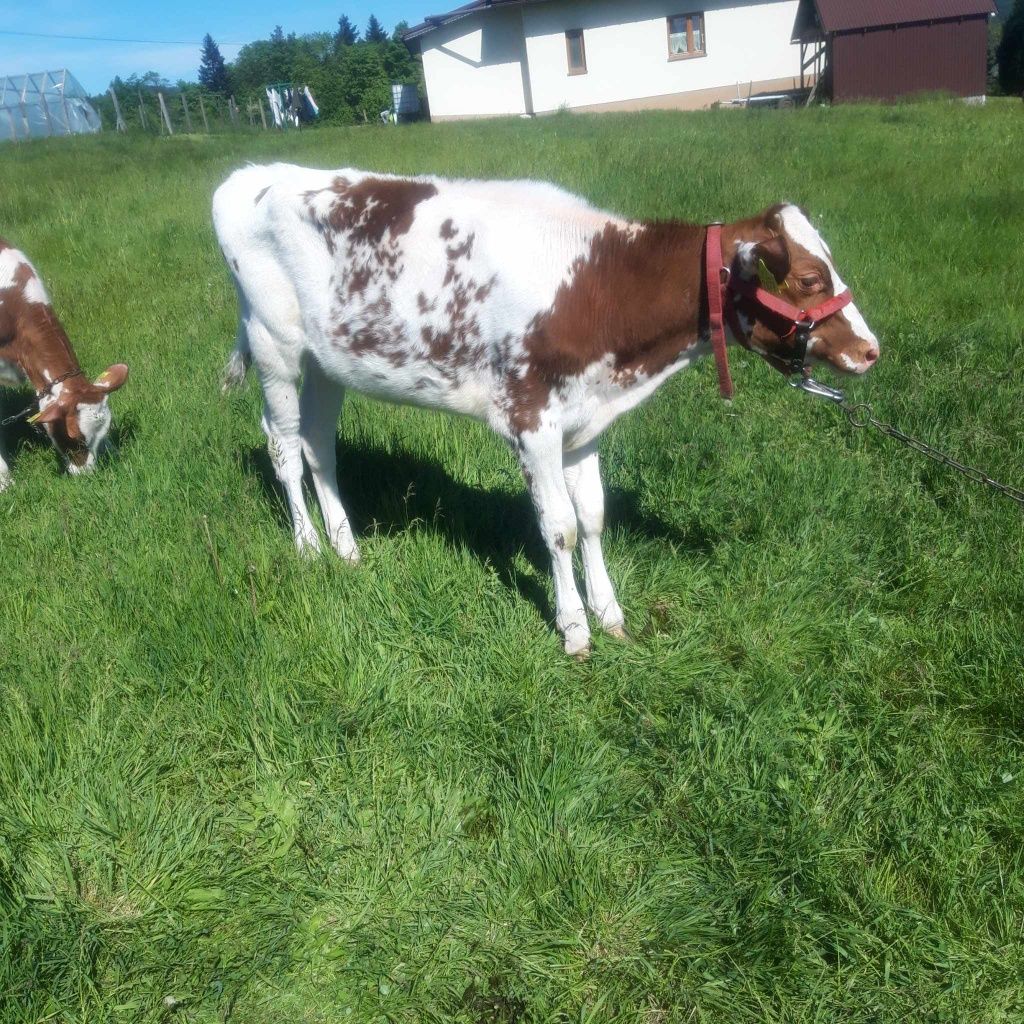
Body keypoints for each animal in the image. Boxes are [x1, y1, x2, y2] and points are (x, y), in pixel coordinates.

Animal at [211, 162, 876, 651]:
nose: (870, 350)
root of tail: (250, 174)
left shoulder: (585, 421)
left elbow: (593, 517)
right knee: (282, 444)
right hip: (274, 341)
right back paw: (307, 546)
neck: (595, 288)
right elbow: (558, 527)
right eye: (810, 278)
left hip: (331, 362)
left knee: (318, 443)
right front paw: (575, 629)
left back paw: (346, 548)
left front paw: (610, 614)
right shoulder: (529, 421)